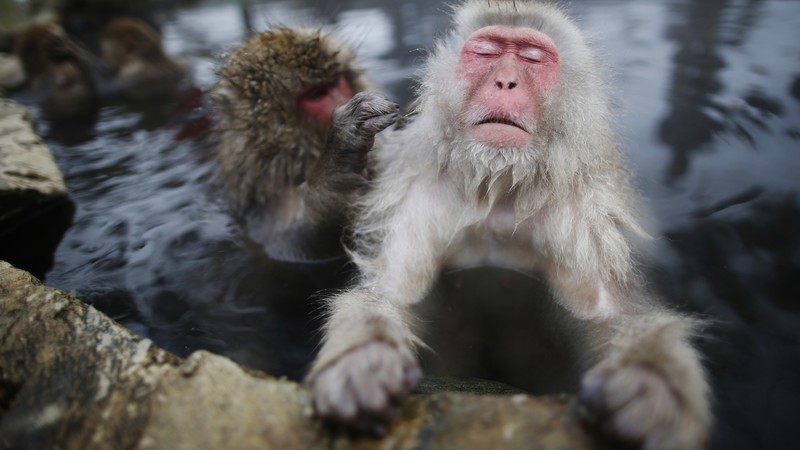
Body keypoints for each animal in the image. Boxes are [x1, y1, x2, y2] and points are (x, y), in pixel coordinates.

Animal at [212, 27, 398, 261]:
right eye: (316, 95)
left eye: (336, 82)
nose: (344, 98)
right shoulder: (262, 212)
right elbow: (293, 245)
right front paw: (337, 159)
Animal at [306, 2, 711, 449]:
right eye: (486, 50)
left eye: (533, 57)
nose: (506, 81)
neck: (497, 186)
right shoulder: (415, 200)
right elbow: (392, 292)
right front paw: (363, 361)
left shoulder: (584, 223)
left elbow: (610, 314)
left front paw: (653, 386)